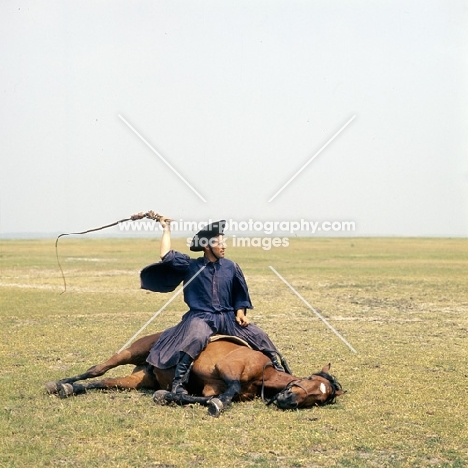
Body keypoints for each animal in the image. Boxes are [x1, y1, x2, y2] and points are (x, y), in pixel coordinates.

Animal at [44, 330, 344, 414]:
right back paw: (59, 384)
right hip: (133, 351)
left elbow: (207, 395)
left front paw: (166, 396)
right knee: (98, 369)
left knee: (106, 382)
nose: (289, 399)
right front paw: (215, 405)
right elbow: (227, 392)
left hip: (137, 379)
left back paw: (71, 388)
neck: (264, 373)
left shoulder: (213, 386)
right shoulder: (228, 368)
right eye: (309, 380)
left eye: (319, 397)